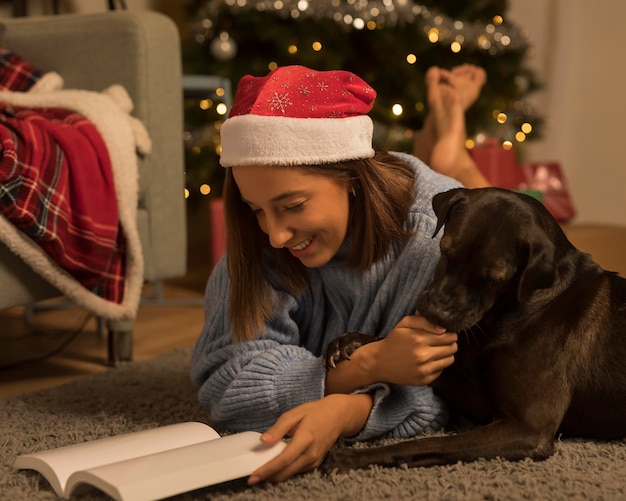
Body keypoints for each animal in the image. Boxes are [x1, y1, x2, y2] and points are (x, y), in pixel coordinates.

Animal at [320, 188, 624, 472]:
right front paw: (352, 341)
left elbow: (427, 444)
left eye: (493, 280)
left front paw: (354, 457)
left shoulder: (526, 428)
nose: (436, 313)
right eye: (444, 251)